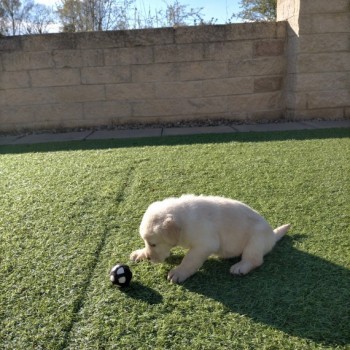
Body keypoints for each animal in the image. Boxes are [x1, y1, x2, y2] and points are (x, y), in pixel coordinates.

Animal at [130, 196, 292, 284]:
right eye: (146, 243)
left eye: (153, 244)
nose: (149, 258)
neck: (183, 220)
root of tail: (272, 234)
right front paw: (140, 253)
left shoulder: (205, 244)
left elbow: (189, 260)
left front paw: (179, 272)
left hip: (256, 240)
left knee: (254, 260)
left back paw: (240, 267)